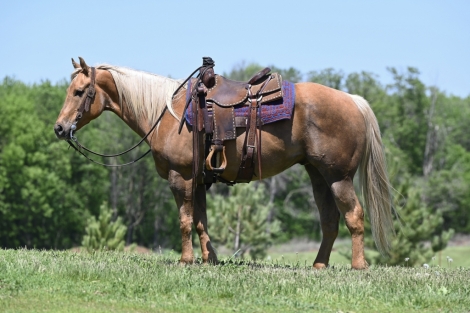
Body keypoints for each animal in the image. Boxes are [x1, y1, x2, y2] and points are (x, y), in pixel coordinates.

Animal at [53, 56, 394, 268]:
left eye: (79, 91)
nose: (59, 128)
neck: (168, 114)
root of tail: (353, 101)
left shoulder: (181, 178)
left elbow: (185, 220)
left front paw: (186, 260)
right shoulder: (199, 180)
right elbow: (201, 221)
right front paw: (210, 259)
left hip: (338, 177)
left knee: (354, 216)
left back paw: (359, 265)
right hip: (318, 175)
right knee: (330, 221)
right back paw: (319, 265)